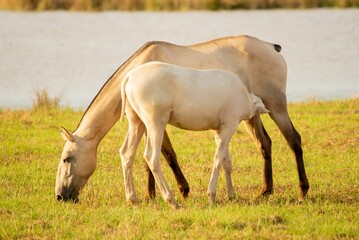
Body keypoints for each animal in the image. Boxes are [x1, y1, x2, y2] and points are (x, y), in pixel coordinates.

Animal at [55, 34, 310, 203]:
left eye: (67, 159)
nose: (60, 196)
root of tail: (272, 47)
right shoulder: (146, 124)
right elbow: (153, 158)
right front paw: (152, 194)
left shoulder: (156, 124)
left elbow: (166, 156)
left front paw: (178, 190)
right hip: (252, 117)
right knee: (264, 143)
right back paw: (266, 190)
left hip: (276, 107)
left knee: (294, 141)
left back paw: (303, 189)